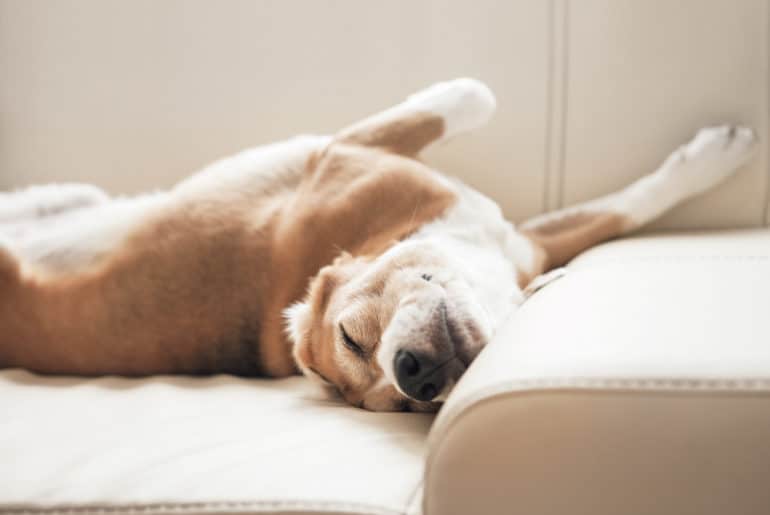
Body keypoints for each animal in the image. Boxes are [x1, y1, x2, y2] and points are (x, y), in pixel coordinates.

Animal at [0, 79, 756, 412]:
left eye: (351, 335)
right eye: (403, 404)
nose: (413, 373)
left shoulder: (519, 241)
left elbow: (619, 211)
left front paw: (712, 159)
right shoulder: (346, 150)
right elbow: (468, 99)